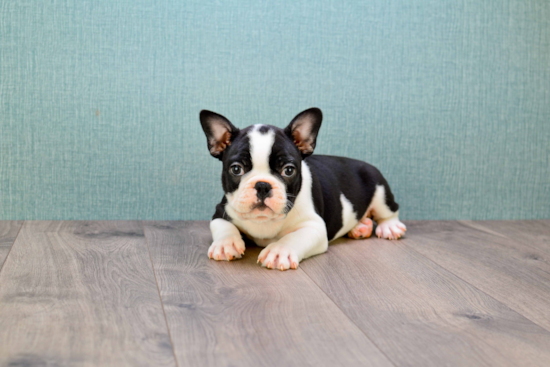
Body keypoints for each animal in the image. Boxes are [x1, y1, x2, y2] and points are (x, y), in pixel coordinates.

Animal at [201, 108, 408, 272]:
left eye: (288, 170)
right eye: (236, 169)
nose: (262, 185)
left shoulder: (314, 226)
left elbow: (294, 237)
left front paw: (279, 251)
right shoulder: (221, 211)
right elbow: (224, 226)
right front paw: (225, 244)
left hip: (379, 188)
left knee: (389, 211)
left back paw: (389, 227)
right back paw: (361, 227)